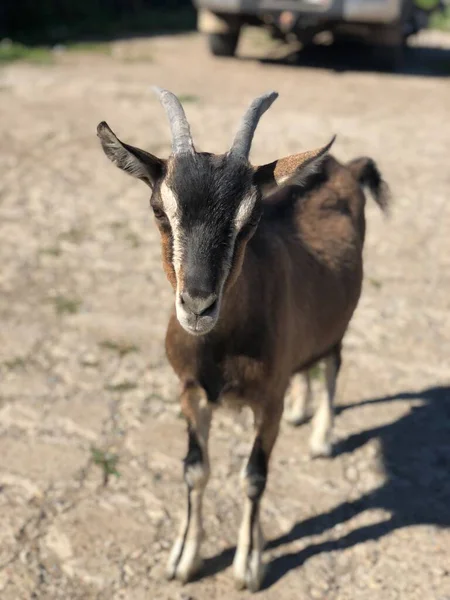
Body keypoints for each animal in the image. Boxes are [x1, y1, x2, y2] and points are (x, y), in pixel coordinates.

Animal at [96, 89, 388, 592]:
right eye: (159, 210)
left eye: (250, 219)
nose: (197, 305)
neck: (219, 348)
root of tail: (346, 167)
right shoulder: (190, 391)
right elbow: (195, 470)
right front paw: (183, 559)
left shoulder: (266, 402)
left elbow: (254, 477)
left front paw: (249, 565)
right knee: (306, 367)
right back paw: (301, 411)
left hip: (341, 319)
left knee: (332, 363)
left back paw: (322, 437)